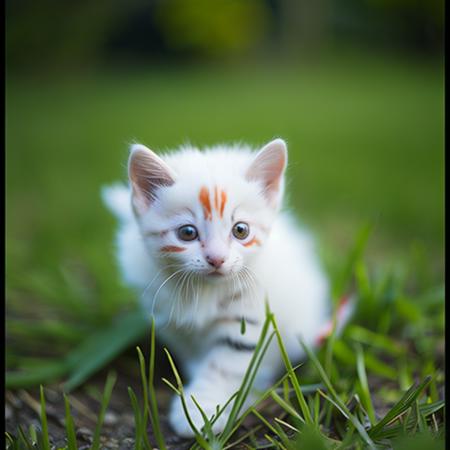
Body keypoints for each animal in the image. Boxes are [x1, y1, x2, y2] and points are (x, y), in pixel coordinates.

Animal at [102, 138, 352, 436]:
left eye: (240, 230)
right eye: (187, 233)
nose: (217, 258)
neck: (204, 291)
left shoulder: (250, 317)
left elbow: (225, 364)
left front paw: (203, 408)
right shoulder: (169, 319)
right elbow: (193, 355)